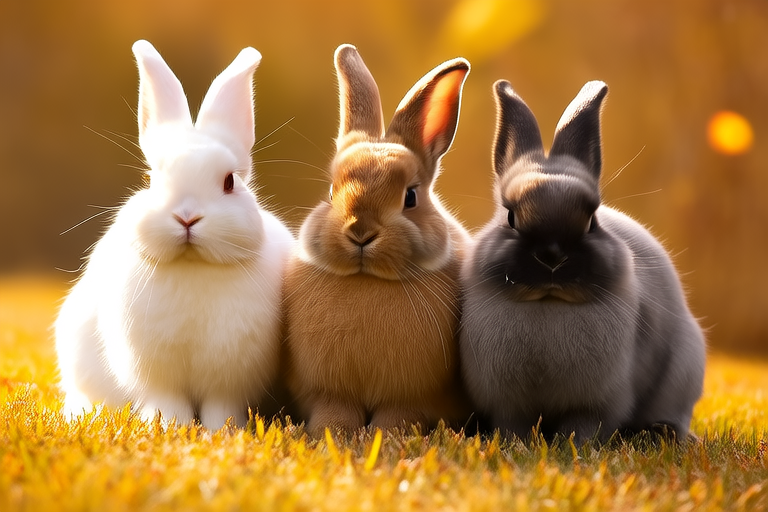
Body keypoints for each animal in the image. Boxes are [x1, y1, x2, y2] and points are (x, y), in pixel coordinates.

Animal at [54, 40, 295, 430]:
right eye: (150, 179)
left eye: (230, 181)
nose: (186, 217)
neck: (192, 265)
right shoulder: (157, 375)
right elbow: (167, 402)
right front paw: (168, 427)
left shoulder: (229, 379)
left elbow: (220, 407)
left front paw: (220, 432)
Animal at [281, 44, 472, 436]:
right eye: (331, 191)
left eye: (410, 197)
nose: (360, 231)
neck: (366, 280)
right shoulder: (329, 391)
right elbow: (334, 409)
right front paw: (333, 432)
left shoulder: (411, 396)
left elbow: (398, 413)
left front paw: (388, 435)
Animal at [459, 80, 706, 444]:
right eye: (511, 217)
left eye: (591, 221)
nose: (552, 256)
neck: (548, 303)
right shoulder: (509, 405)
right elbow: (514, 427)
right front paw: (519, 445)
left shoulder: (597, 405)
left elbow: (582, 428)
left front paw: (572, 446)